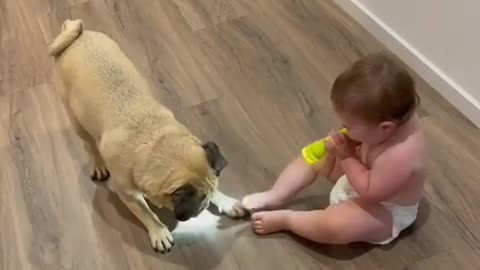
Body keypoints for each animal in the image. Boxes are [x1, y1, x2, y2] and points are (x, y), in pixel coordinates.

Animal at [48, 19, 246, 253]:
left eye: (207, 198)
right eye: (198, 204)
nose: (201, 208)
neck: (155, 142)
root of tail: (76, 37)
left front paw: (225, 201)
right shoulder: (127, 194)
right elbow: (146, 213)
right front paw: (159, 231)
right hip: (76, 119)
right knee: (89, 144)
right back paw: (98, 163)